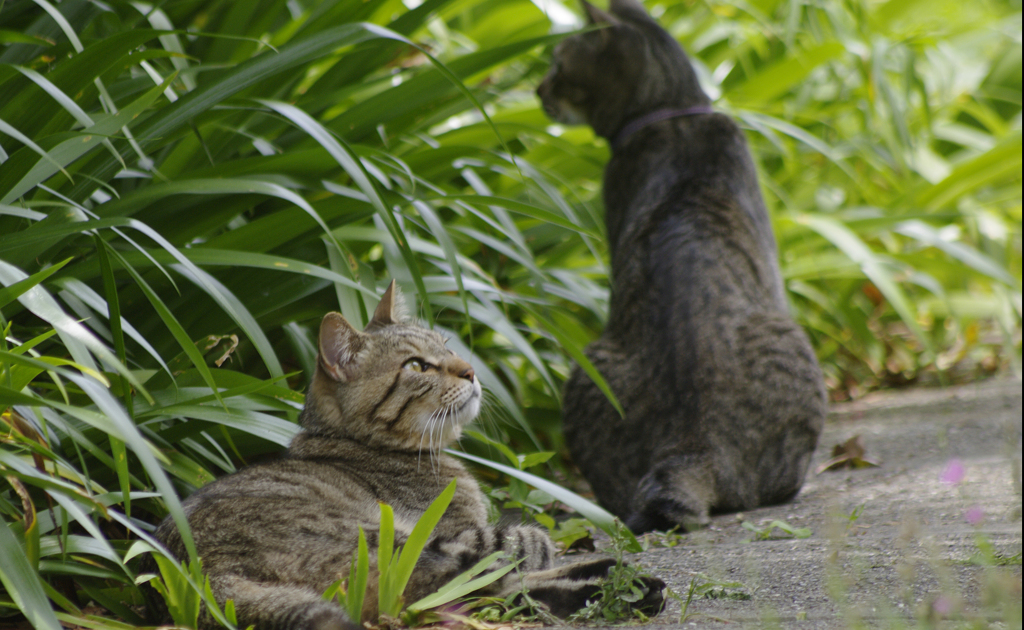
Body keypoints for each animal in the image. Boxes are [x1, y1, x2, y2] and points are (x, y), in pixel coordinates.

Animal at [149, 282, 663, 630]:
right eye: (418, 365)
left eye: (447, 346)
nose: (472, 370)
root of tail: (198, 576)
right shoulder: (454, 530)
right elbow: (520, 548)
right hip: (392, 543)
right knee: (469, 589)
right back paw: (615, 584)